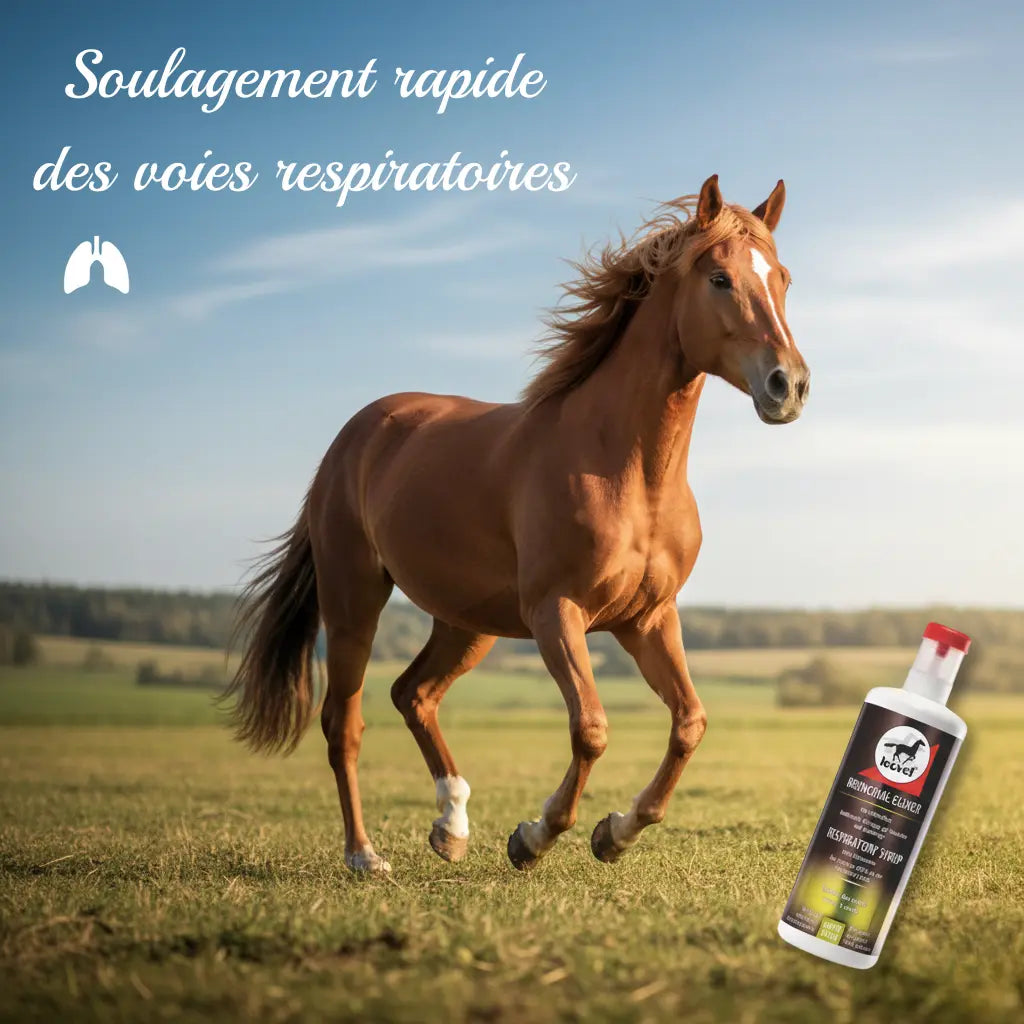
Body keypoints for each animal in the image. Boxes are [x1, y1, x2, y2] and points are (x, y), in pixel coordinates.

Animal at [224, 174, 810, 873]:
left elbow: (690, 723)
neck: (625, 469)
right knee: (346, 724)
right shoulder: (557, 612)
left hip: (467, 623)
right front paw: (535, 837)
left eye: (783, 278)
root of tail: (354, 435)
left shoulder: (647, 618)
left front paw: (616, 832)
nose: (788, 385)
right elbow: (592, 728)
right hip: (352, 604)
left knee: (413, 694)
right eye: (720, 278)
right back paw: (365, 856)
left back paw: (451, 826)